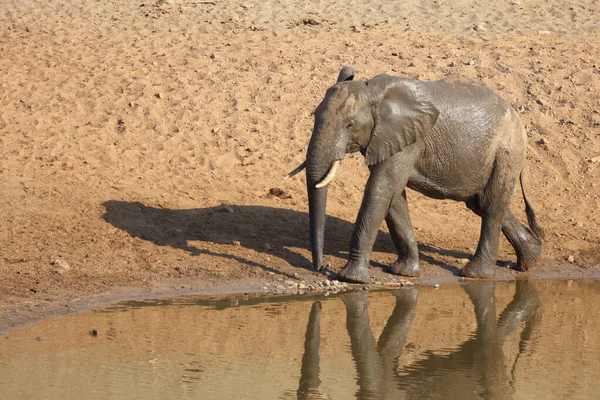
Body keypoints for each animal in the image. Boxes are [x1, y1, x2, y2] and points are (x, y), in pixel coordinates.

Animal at [286, 65, 544, 282]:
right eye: (314, 116)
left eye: (350, 125)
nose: (319, 269)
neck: (374, 93)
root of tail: (517, 116)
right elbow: (394, 197)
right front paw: (403, 272)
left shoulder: (407, 139)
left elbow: (380, 190)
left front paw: (351, 278)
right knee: (481, 203)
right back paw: (531, 258)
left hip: (507, 150)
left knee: (491, 206)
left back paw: (475, 274)